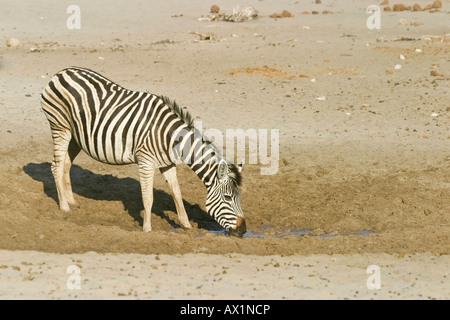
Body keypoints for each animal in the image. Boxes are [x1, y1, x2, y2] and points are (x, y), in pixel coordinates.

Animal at [41, 67, 246, 238]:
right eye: (228, 197)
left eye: (239, 197)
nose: (243, 230)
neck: (171, 138)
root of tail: (61, 72)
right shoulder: (145, 161)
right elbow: (148, 197)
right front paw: (147, 229)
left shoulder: (167, 163)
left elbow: (176, 193)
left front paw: (186, 225)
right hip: (60, 127)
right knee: (56, 166)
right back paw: (64, 207)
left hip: (76, 136)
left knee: (66, 164)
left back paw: (72, 201)